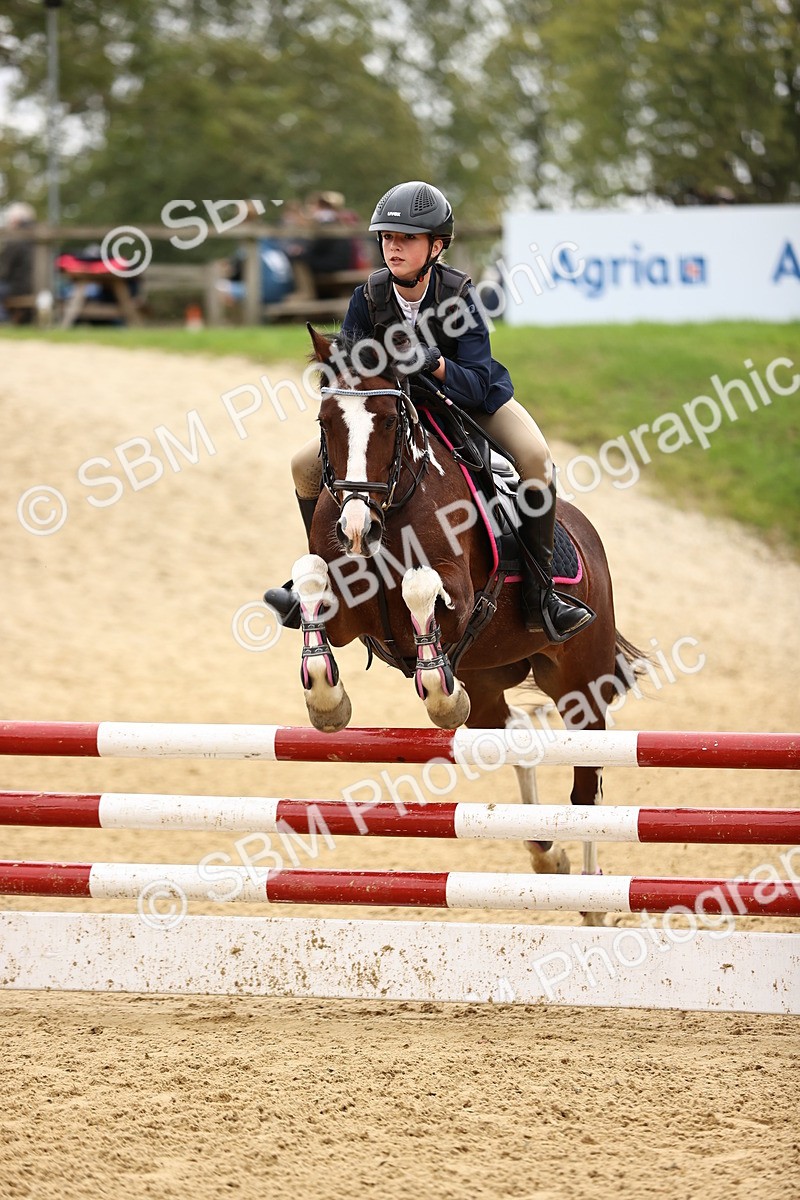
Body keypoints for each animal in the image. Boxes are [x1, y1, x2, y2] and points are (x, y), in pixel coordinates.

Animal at [289, 327, 644, 920]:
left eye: (392, 421)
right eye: (326, 421)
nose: (357, 528)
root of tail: (586, 533)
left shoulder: (457, 595)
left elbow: (419, 586)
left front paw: (437, 696)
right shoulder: (348, 613)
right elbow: (312, 579)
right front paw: (327, 701)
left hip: (580, 678)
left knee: (587, 782)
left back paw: (593, 899)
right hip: (488, 677)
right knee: (515, 733)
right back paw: (548, 856)